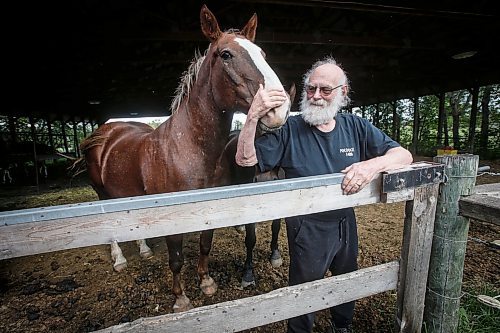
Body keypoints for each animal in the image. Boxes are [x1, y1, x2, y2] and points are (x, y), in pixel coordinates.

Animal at [79, 5, 292, 312]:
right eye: (226, 55)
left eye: (262, 53)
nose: (280, 109)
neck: (189, 149)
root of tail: (104, 132)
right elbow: (176, 260)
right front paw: (180, 298)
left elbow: (205, 245)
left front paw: (206, 282)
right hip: (102, 194)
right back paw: (119, 259)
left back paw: (144, 249)